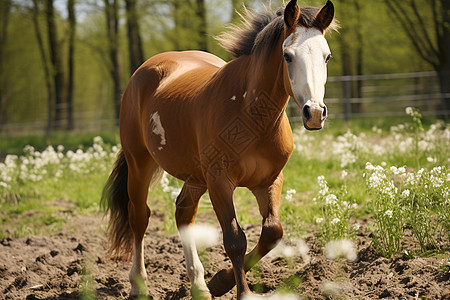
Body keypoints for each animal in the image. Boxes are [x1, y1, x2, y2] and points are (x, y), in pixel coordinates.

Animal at [101, 1, 334, 298]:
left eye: (327, 57)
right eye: (288, 56)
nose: (314, 113)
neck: (250, 116)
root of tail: (145, 70)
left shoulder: (269, 181)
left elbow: (272, 233)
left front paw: (220, 281)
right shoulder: (220, 182)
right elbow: (235, 239)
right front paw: (242, 292)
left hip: (195, 177)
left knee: (183, 213)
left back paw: (199, 286)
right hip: (140, 163)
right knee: (139, 217)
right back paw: (139, 286)